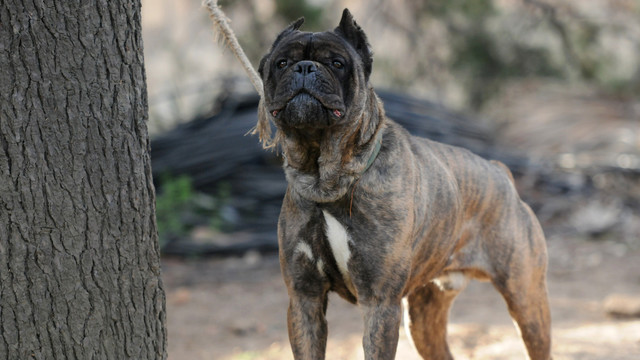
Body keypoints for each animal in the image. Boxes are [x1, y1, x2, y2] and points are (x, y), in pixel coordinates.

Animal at [258, 8, 552, 360]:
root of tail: (500, 173)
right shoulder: (305, 300)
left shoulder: (379, 303)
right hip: (425, 319)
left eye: (337, 63)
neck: (326, 178)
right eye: (282, 63)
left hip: (527, 303)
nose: (305, 67)